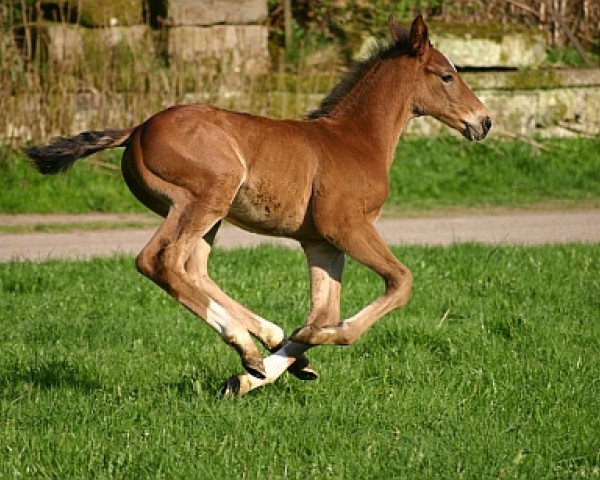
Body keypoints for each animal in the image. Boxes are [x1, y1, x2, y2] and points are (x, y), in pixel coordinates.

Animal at [25, 15, 490, 398]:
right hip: (205, 196)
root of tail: (137, 129)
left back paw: (266, 344)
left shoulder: (322, 243)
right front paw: (310, 340)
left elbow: (325, 308)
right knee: (160, 260)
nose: (483, 121)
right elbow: (398, 283)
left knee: (195, 269)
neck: (355, 140)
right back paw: (247, 345)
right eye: (447, 75)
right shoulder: (346, 226)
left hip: (209, 214)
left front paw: (263, 371)